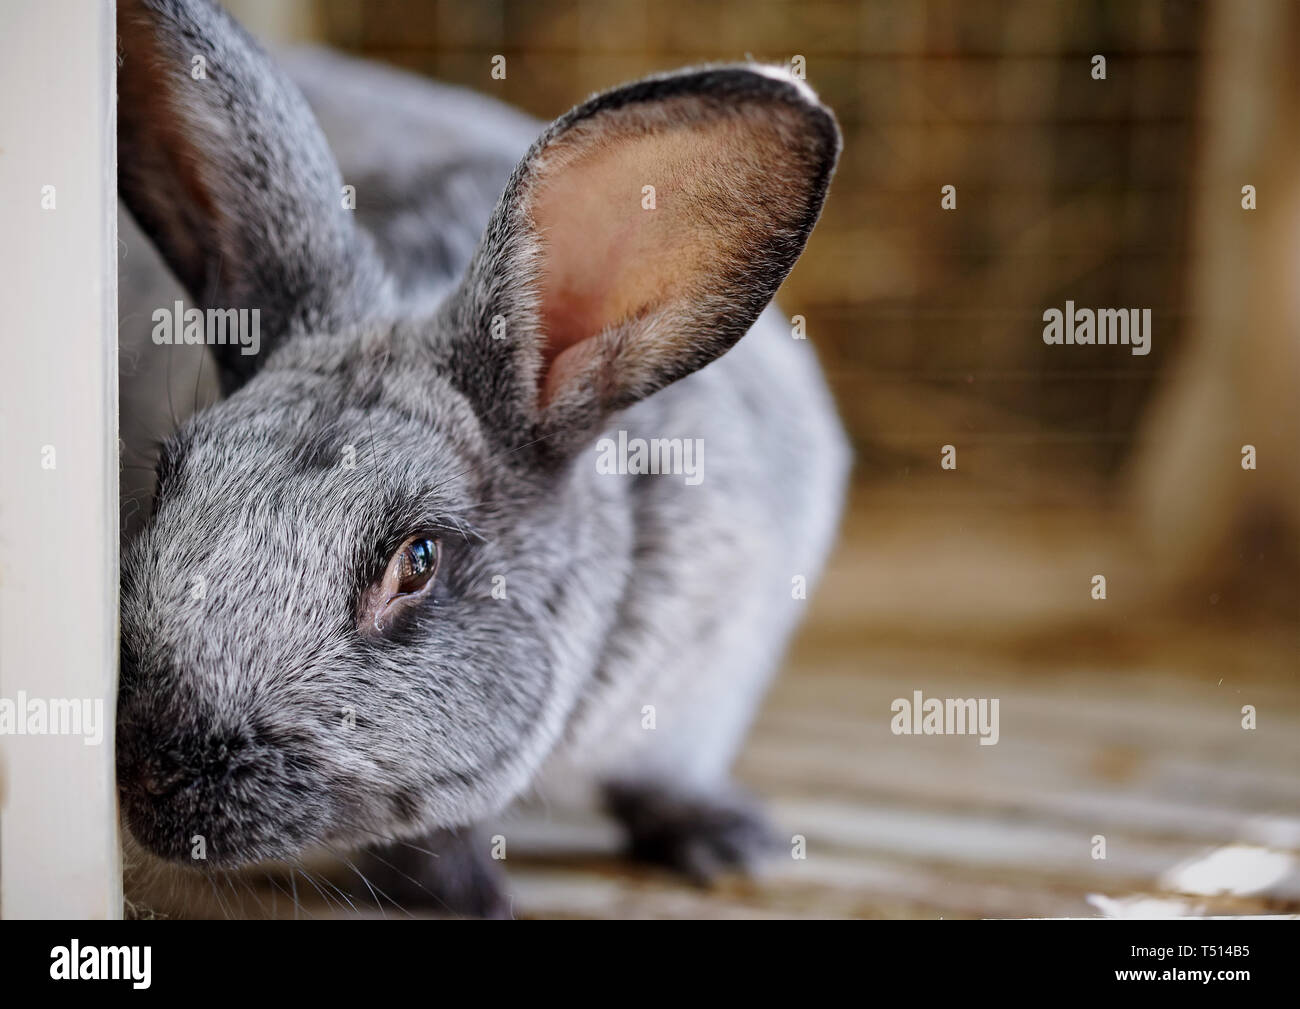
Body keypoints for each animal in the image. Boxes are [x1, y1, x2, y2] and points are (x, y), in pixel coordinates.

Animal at [115, 0, 850, 917]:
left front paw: (729, 843)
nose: (151, 773)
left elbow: (663, 774)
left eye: (418, 559)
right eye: (167, 482)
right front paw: (471, 895)